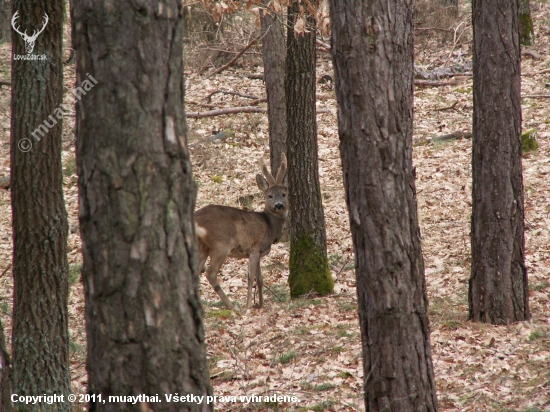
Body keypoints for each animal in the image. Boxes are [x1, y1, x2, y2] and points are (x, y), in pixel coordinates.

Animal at [196, 154, 288, 312]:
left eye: (283, 194)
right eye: (269, 196)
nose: (279, 205)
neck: (269, 225)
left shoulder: (259, 253)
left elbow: (260, 279)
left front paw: (260, 304)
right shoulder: (254, 249)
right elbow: (250, 277)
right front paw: (248, 305)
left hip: (203, 247)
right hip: (221, 244)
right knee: (210, 273)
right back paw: (232, 306)